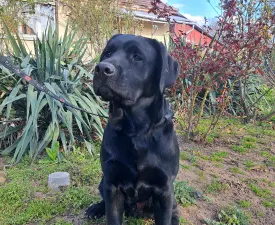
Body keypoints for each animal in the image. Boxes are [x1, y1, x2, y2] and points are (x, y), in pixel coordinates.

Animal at [86, 33, 181, 225]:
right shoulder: (112, 184)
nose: (102, 68)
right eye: (107, 53)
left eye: (137, 57)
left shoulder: (164, 189)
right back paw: (96, 208)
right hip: (103, 181)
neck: (136, 131)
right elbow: (112, 216)